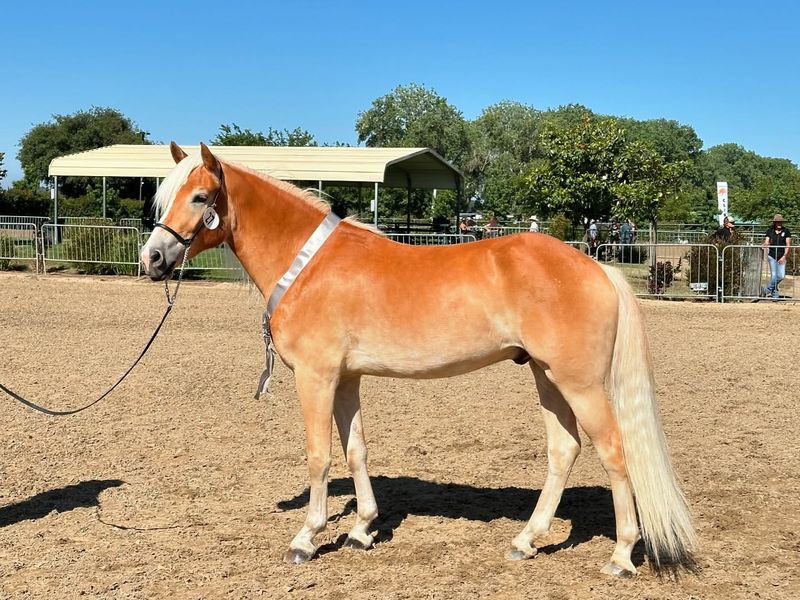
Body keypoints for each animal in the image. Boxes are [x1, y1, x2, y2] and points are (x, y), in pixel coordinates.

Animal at [142, 142, 692, 576]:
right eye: (165, 198)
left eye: (199, 197)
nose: (152, 259)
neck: (308, 263)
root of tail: (596, 267)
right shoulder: (346, 379)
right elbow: (356, 450)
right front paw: (362, 529)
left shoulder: (316, 378)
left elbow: (319, 455)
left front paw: (306, 538)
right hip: (547, 376)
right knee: (564, 450)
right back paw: (526, 541)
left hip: (579, 383)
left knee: (614, 452)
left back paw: (621, 556)